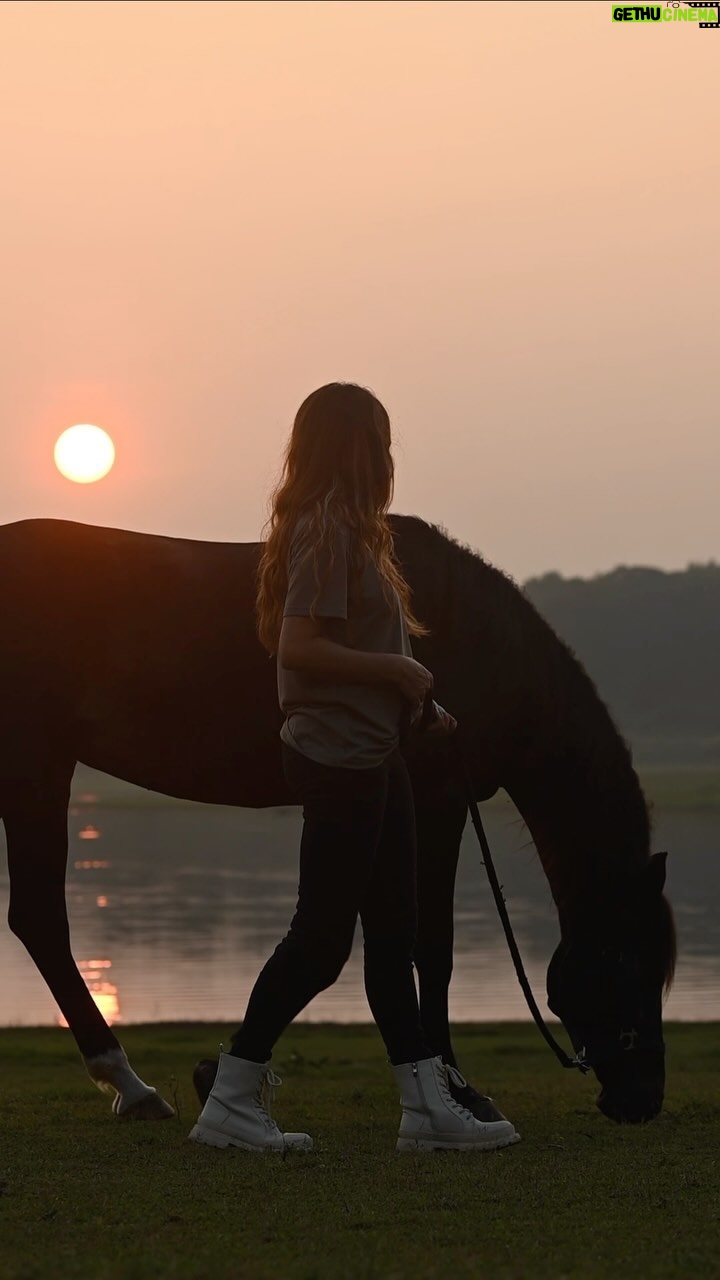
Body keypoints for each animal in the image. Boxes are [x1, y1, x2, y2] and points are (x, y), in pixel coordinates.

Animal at [0, 515, 676, 1125]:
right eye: (628, 961)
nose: (642, 1100)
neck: (476, 639)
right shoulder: (438, 799)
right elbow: (433, 946)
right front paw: (461, 1086)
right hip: (36, 764)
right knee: (42, 921)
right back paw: (131, 1086)